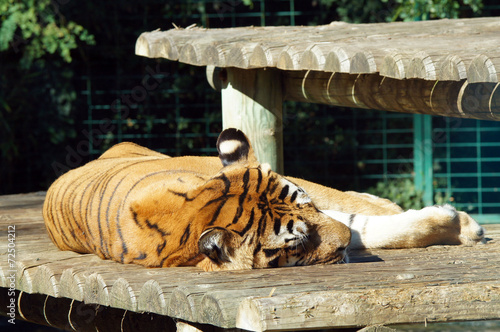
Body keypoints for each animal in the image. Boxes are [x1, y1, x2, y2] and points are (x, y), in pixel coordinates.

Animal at [43, 127, 484, 270]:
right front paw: (459, 225)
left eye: (308, 204)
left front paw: (460, 225)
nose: (343, 243)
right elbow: (367, 229)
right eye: (297, 241)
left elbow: (367, 223)